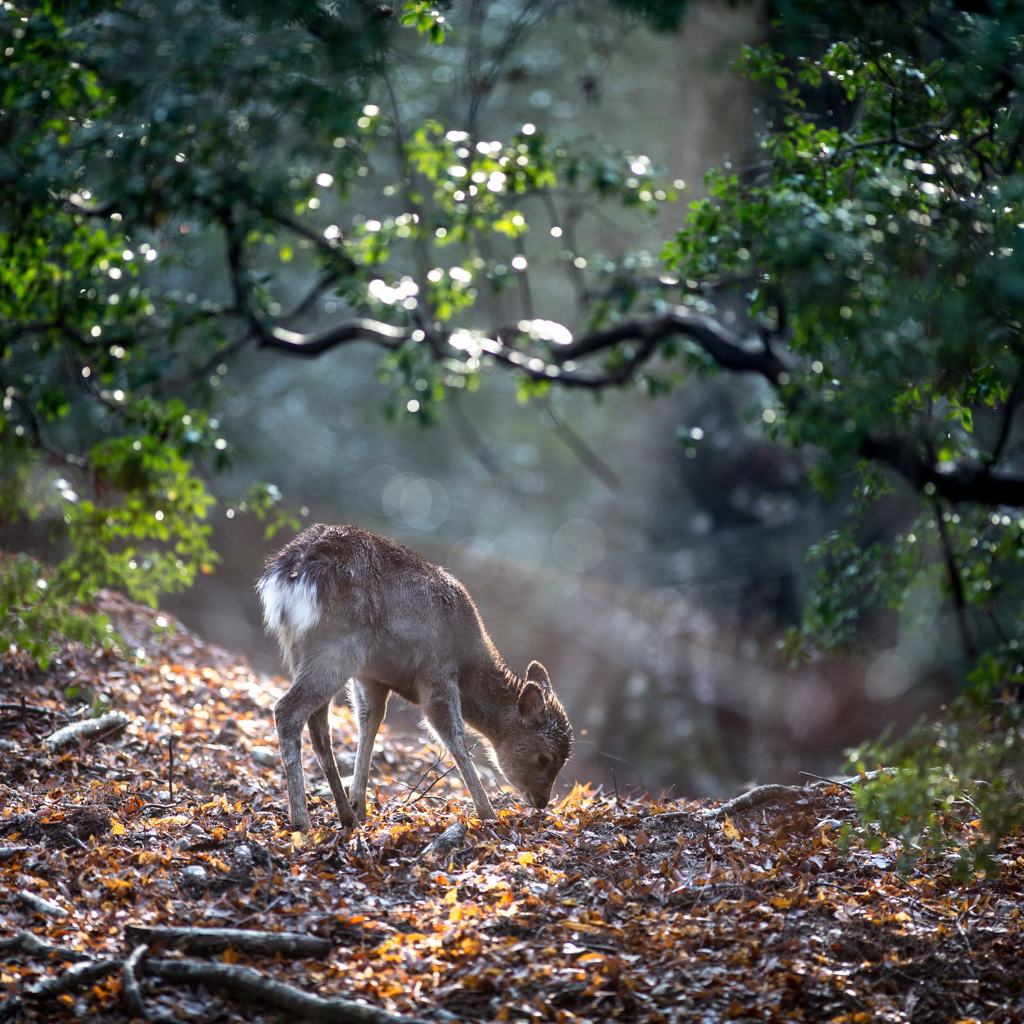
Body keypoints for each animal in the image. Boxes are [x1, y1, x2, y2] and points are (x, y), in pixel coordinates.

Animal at [256, 524, 577, 827]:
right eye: (544, 757)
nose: (542, 801)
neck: (469, 662)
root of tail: (288, 573)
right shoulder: (438, 671)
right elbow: (453, 736)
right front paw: (488, 816)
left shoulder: (372, 677)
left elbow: (370, 723)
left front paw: (360, 808)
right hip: (338, 646)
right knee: (287, 710)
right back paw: (302, 823)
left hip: (302, 650)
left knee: (319, 726)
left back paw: (346, 817)